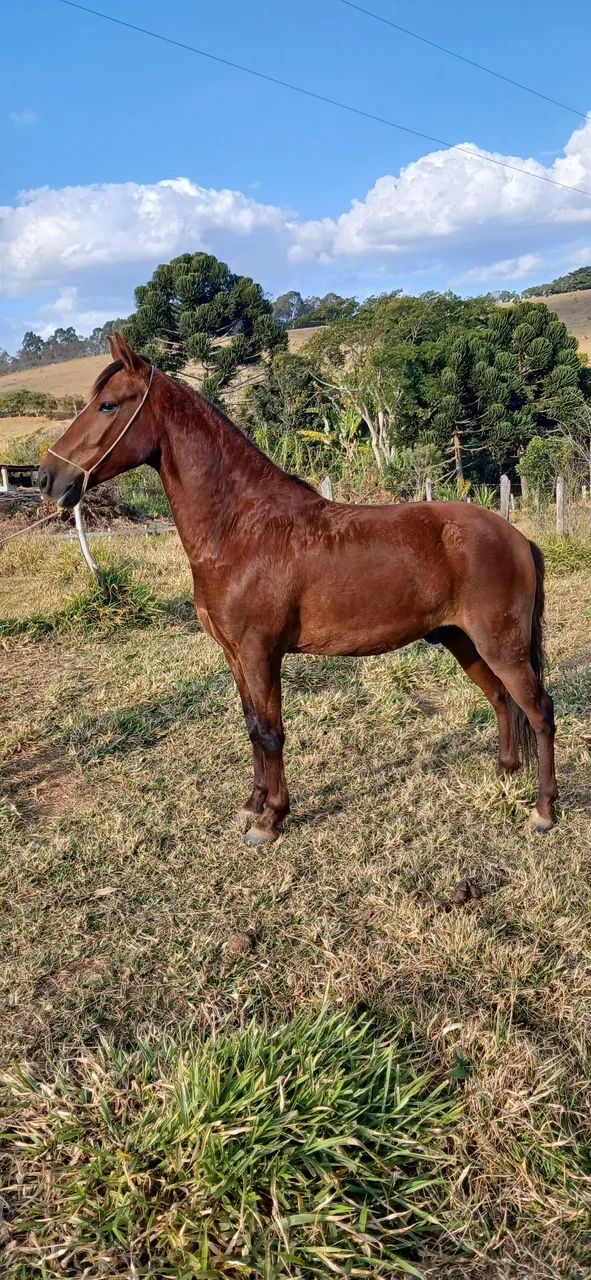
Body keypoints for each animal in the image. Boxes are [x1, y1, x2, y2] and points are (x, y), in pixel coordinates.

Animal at [38, 333, 558, 845]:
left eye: (108, 405)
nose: (47, 478)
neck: (241, 528)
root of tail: (516, 537)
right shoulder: (235, 655)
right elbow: (252, 726)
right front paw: (252, 804)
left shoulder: (259, 653)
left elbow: (271, 732)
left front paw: (271, 819)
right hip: (464, 642)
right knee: (501, 699)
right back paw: (505, 771)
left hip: (501, 646)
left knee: (539, 710)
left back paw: (544, 810)